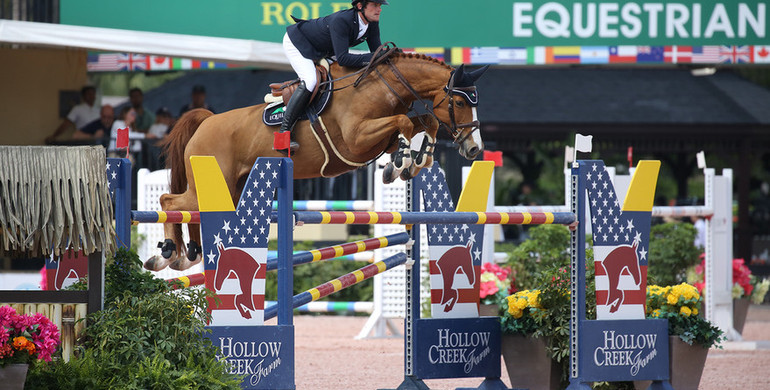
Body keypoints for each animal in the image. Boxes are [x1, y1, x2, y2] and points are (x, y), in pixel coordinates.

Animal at [147, 51, 488, 272]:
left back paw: (188, 254)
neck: (380, 88)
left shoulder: (378, 138)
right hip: (211, 181)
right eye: (460, 102)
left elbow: (422, 121)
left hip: (231, 188)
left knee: (191, 211)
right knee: (169, 202)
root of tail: (206, 121)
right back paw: (167, 254)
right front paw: (400, 164)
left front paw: (413, 162)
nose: (475, 150)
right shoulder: (356, 140)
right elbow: (405, 122)